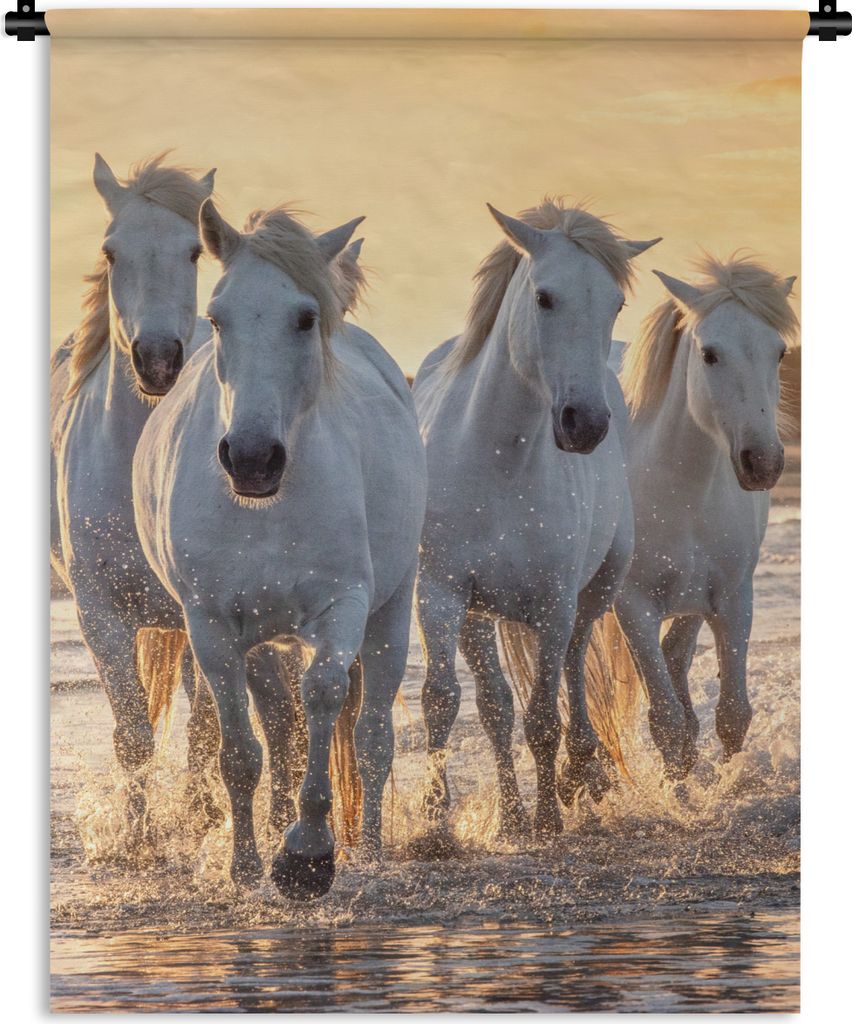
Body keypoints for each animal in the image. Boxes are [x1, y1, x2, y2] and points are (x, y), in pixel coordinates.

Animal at [133, 201, 426, 897]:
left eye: (305, 317)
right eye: (218, 317)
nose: (251, 458)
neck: (267, 512)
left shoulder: (344, 606)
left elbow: (323, 696)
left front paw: (307, 854)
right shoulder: (211, 626)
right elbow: (241, 752)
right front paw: (245, 867)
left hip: (391, 611)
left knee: (372, 737)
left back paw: (371, 849)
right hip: (264, 640)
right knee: (281, 730)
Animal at [412, 199, 660, 840]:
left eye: (615, 303)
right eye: (545, 297)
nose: (585, 424)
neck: (499, 461)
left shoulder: (553, 603)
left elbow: (545, 714)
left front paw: (549, 815)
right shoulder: (441, 594)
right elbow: (445, 701)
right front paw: (436, 825)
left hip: (594, 591)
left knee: (573, 668)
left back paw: (580, 774)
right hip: (479, 615)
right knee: (496, 706)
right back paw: (512, 814)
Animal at [610, 255, 797, 777]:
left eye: (779, 352)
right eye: (710, 354)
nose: (764, 463)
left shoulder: (732, 598)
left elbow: (733, 714)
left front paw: (724, 783)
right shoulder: (633, 607)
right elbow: (666, 724)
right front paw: (681, 793)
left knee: (677, 656)